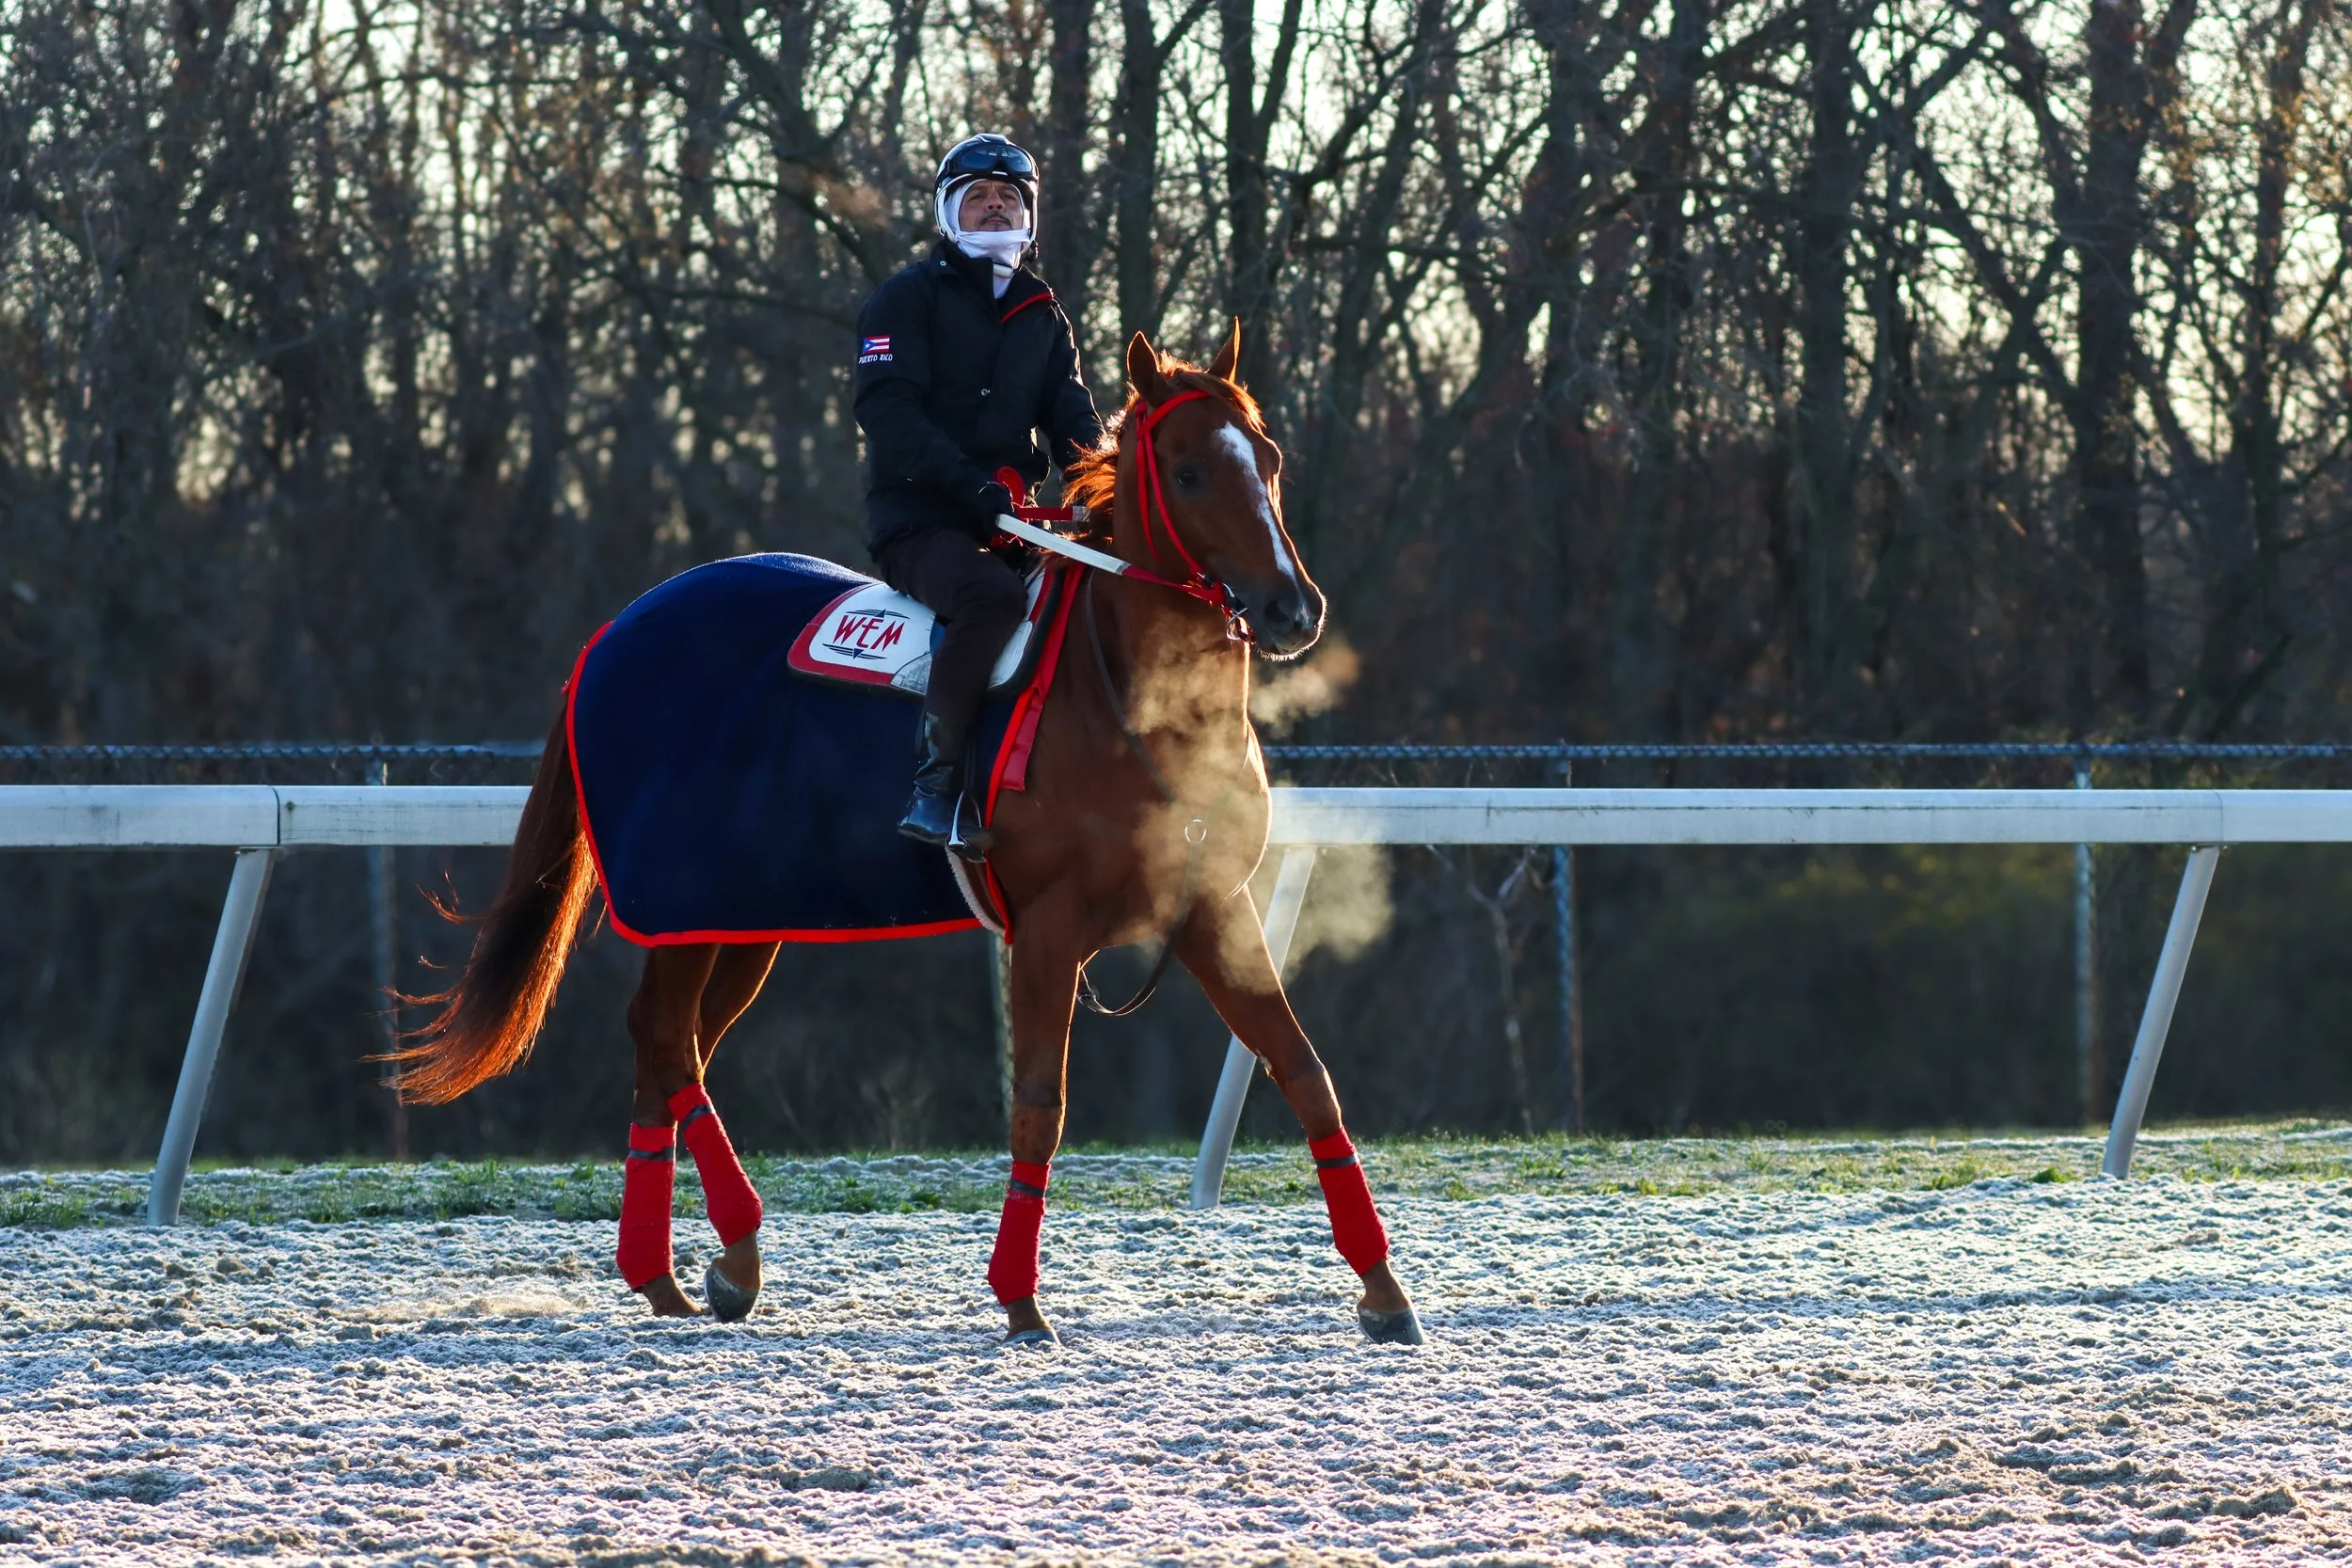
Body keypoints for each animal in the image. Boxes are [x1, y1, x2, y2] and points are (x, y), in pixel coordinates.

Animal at [387, 324, 1423, 1347]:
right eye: (1190, 470)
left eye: (1270, 460)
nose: (1292, 607)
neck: (1125, 697)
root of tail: (615, 632)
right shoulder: (1048, 934)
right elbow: (1039, 1107)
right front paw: (1019, 1297)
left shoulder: (1214, 912)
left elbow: (1306, 1074)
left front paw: (1382, 1287)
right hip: (685, 901)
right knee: (669, 1041)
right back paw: (738, 1249)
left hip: (739, 915)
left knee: (668, 1047)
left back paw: (665, 1272)